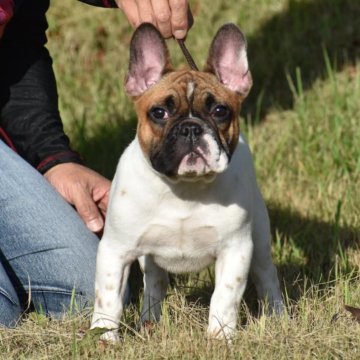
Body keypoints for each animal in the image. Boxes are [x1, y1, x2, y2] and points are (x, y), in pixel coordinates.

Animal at [89, 23, 282, 344]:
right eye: (159, 113)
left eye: (220, 111)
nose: (191, 128)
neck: (183, 188)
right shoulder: (115, 250)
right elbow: (109, 299)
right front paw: (104, 338)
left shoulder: (236, 249)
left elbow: (224, 297)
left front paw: (219, 338)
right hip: (148, 257)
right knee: (154, 282)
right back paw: (149, 321)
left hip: (260, 241)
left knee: (267, 276)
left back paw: (279, 317)